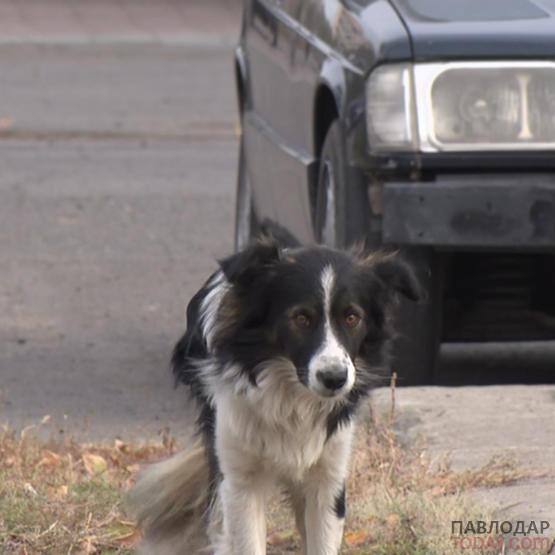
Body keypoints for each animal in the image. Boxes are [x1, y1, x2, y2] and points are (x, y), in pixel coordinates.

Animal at [130, 239, 424, 555]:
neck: (291, 397)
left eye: (352, 317)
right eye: (301, 318)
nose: (335, 378)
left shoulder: (328, 474)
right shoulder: (239, 478)